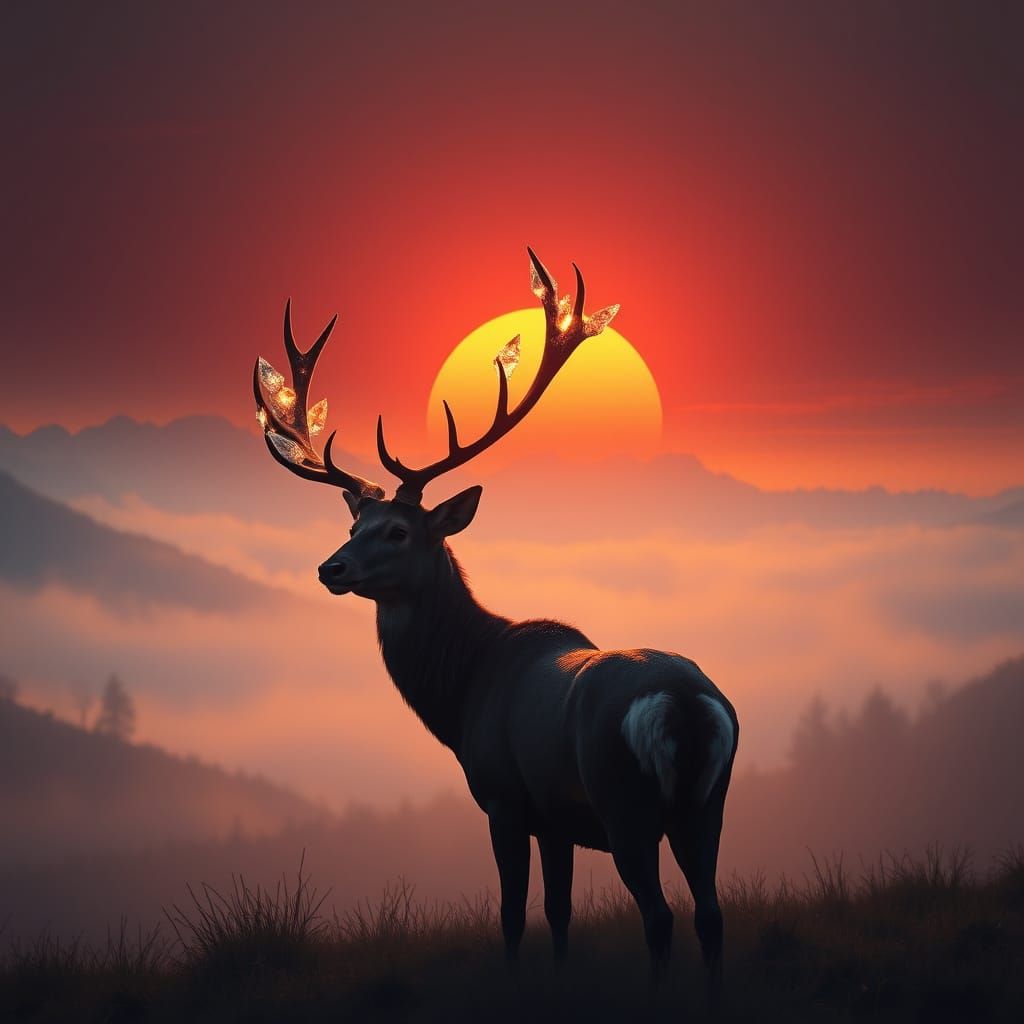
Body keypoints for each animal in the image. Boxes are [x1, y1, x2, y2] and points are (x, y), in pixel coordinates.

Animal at [252, 249, 739, 986]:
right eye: (354, 525)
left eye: (398, 531)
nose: (330, 569)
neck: (461, 696)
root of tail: (684, 706)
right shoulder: (556, 819)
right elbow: (560, 913)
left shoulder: (505, 798)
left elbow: (513, 915)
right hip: (707, 803)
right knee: (711, 914)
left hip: (625, 802)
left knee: (661, 917)